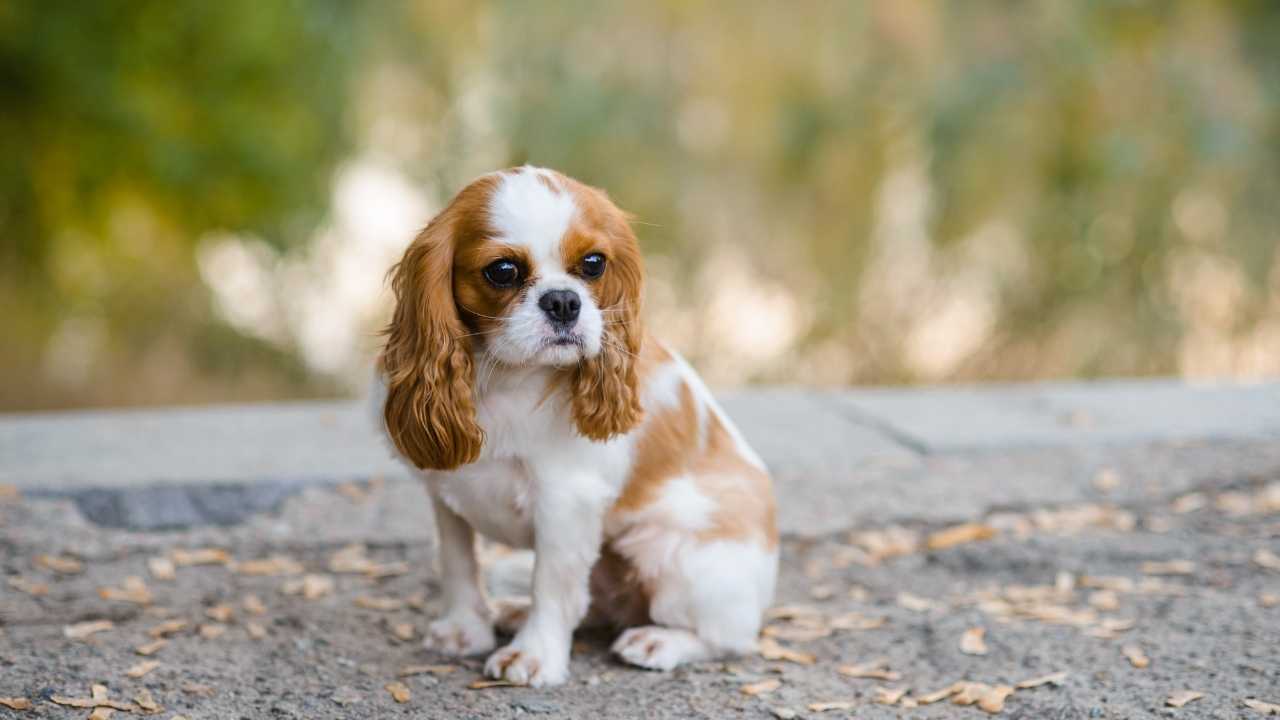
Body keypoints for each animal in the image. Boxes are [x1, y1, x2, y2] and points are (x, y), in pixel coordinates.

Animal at [373, 163, 773, 681]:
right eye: (503, 271)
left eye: (594, 264)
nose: (563, 301)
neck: (502, 377)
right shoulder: (446, 492)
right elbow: (458, 563)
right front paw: (463, 629)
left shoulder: (565, 501)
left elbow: (552, 583)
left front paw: (534, 655)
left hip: (674, 555)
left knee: (730, 638)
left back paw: (659, 641)